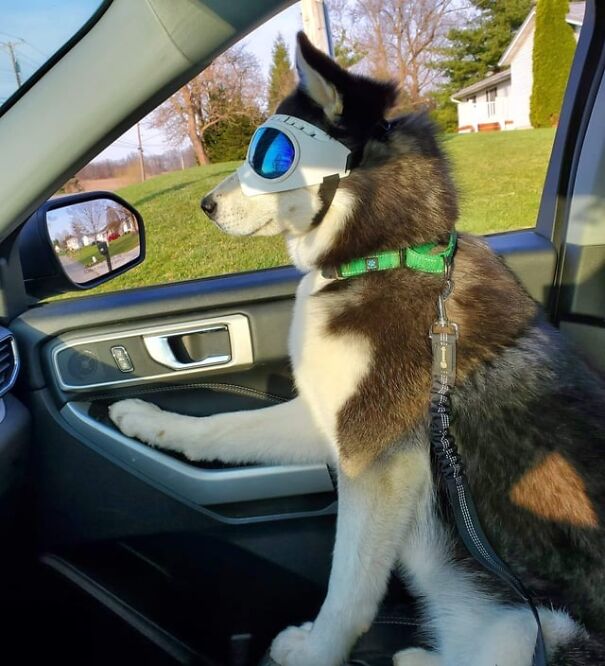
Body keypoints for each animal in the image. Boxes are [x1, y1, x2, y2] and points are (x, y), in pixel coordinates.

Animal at [111, 35, 604, 664]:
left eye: (270, 155)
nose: (205, 205)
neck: (382, 257)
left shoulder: (376, 458)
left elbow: (348, 587)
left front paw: (316, 651)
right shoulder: (328, 420)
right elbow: (220, 430)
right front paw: (142, 417)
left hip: (544, 633)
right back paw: (416, 654)